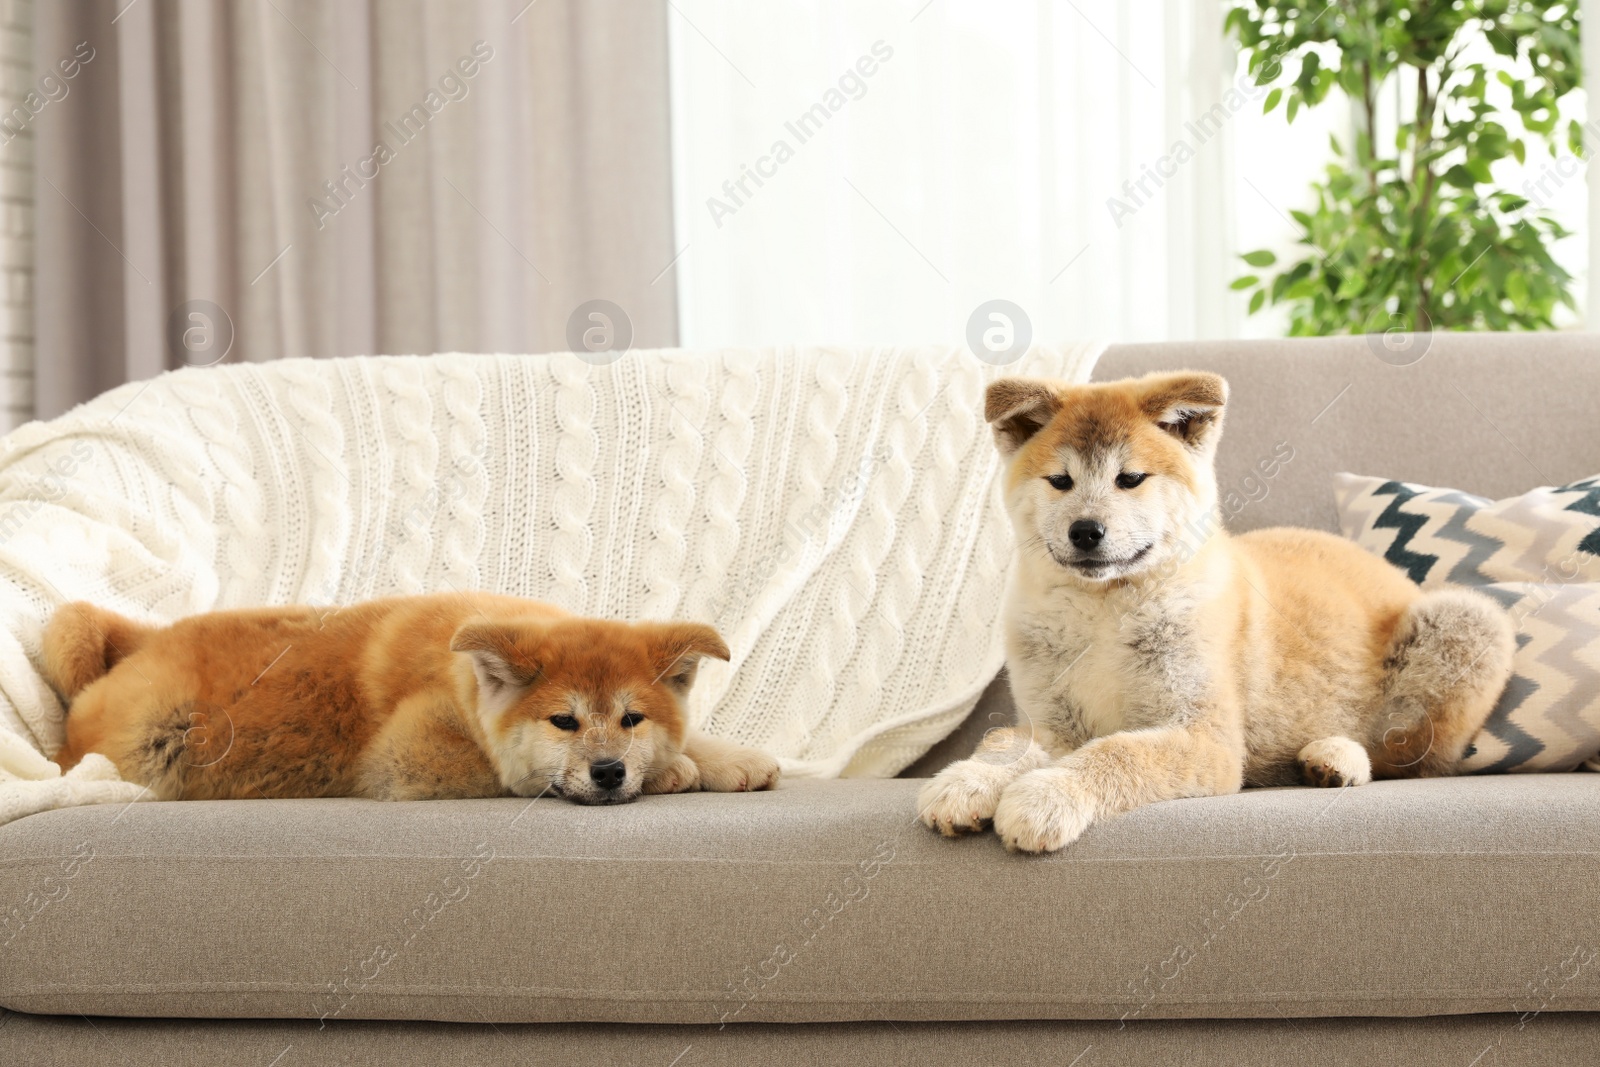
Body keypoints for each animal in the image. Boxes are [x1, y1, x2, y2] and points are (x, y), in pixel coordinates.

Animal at [43, 591, 780, 799]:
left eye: (632, 717)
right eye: (563, 721)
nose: (607, 771)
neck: (463, 683)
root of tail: (144, 639)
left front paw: (729, 758)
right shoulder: (411, 756)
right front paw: (675, 770)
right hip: (156, 739)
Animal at [921, 371, 1516, 857]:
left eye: (1130, 479)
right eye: (1060, 481)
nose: (1086, 531)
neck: (1106, 609)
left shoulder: (1205, 736)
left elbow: (1114, 753)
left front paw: (1044, 797)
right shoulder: (1051, 722)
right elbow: (1007, 742)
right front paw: (966, 781)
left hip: (1466, 621)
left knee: (1406, 760)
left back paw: (1337, 755)